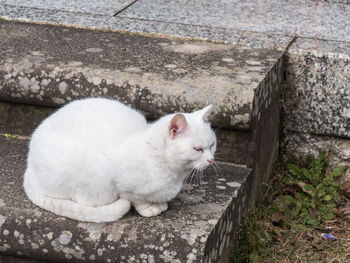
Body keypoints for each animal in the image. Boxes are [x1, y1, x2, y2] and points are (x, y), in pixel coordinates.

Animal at [23, 98, 216, 224]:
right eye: (197, 149)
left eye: (212, 145)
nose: (211, 159)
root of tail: (29, 169)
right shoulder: (123, 183)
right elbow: (135, 198)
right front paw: (149, 207)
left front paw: (159, 203)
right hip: (93, 175)